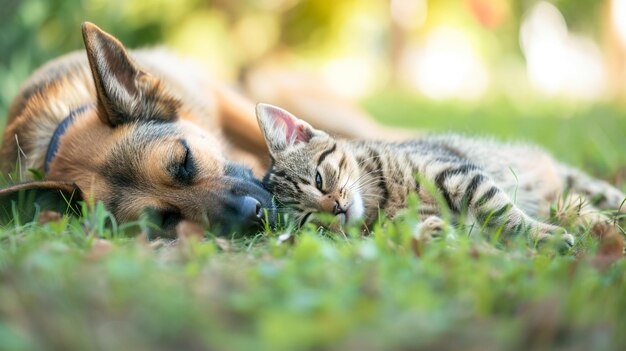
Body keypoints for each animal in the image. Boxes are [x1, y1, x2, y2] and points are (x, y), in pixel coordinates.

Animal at [255, 104, 624, 248]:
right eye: (307, 219)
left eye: (318, 180)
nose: (335, 209)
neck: (379, 199)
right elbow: (409, 229)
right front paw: (432, 233)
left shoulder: (460, 175)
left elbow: (502, 214)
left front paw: (541, 236)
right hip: (570, 201)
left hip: (579, 183)